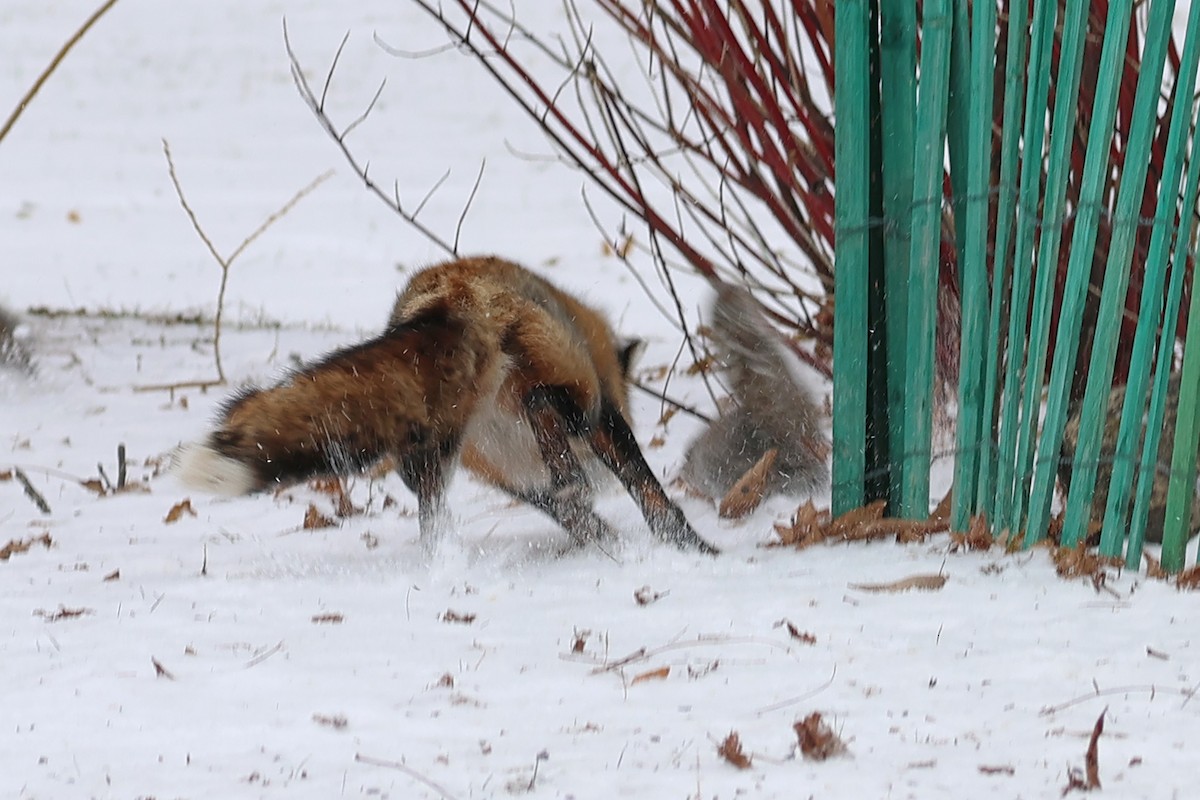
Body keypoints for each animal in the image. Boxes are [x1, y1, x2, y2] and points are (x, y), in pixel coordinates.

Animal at [175, 256, 718, 555]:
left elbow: (583, 521)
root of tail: (449, 292)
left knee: (434, 519)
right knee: (546, 404)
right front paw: (696, 551)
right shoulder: (604, 413)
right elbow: (653, 499)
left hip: (425, 458)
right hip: (571, 399)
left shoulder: (519, 481)